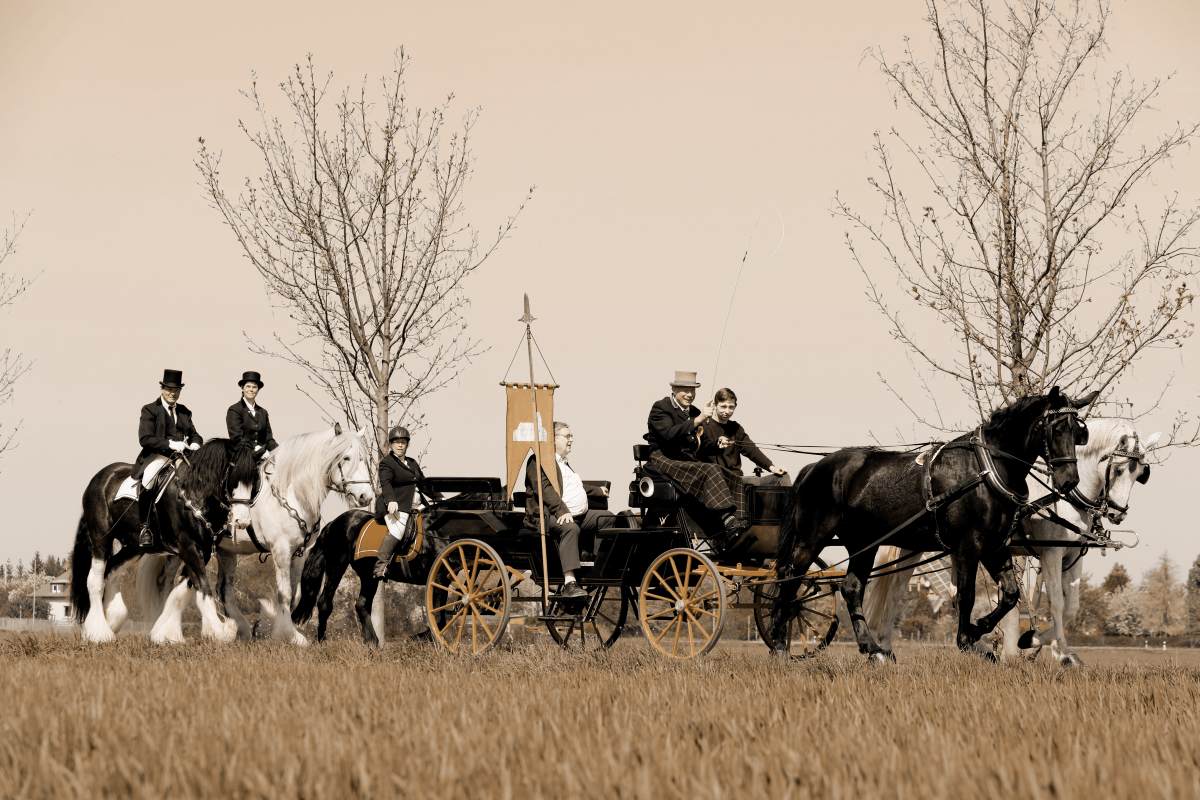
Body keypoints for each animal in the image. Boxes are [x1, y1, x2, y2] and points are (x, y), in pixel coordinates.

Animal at [70, 438, 255, 642]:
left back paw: (112, 620)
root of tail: (101, 476)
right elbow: (203, 588)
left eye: (254, 480)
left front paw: (166, 633)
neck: (196, 495)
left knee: (111, 570)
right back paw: (98, 632)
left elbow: (183, 590)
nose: (242, 521)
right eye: (233, 477)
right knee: (95, 579)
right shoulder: (189, 547)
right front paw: (219, 632)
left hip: (134, 547)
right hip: (101, 538)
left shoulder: (202, 551)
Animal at [137, 424, 369, 642]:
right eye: (346, 457)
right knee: (175, 582)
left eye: (364, 458)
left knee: (215, 588)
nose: (365, 496)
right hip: (191, 548)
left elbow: (294, 594)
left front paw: (279, 629)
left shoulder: (299, 553)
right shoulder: (281, 550)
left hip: (222, 552)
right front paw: (288, 635)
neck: (291, 496)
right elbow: (284, 594)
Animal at [768, 388, 1099, 662]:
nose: (1070, 481)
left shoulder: (995, 546)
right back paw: (779, 644)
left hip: (864, 543)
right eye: (1056, 428)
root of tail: (815, 466)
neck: (986, 470)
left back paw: (871, 648)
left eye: (1079, 432)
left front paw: (980, 630)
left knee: (851, 588)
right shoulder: (968, 546)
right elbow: (965, 594)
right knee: (791, 579)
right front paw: (968, 640)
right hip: (813, 538)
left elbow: (1009, 594)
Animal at [864, 419, 1152, 662]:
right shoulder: (1051, 553)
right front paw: (1060, 652)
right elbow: (1057, 603)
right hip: (917, 546)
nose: (1117, 513)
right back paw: (885, 648)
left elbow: (1072, 607)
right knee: (897, 592)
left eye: (1141, 473)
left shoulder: (1071, 556)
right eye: (1119, 469)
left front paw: (1034, 640)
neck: (1061, 496)